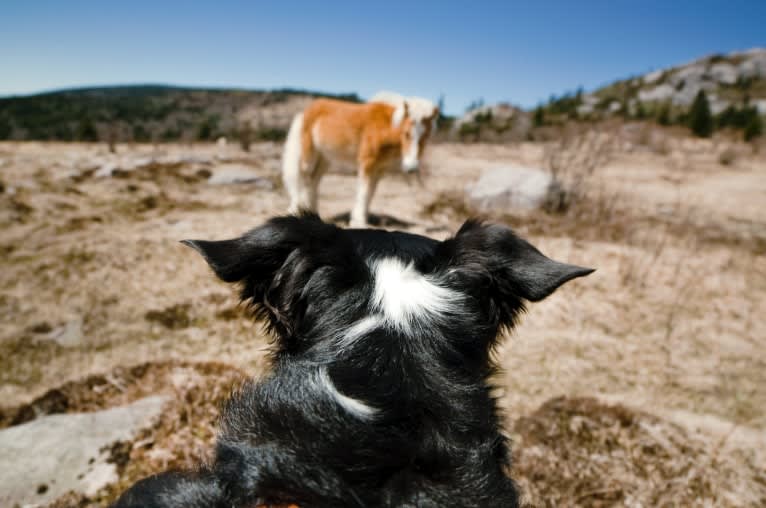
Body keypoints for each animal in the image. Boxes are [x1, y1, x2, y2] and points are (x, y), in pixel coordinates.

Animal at [282, 92, 438, 226]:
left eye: (426, 137)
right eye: (406, 133)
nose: (412, 167)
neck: (385, 126)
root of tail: (304, 112)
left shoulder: (380, 169)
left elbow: (371, 193)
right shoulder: (367, 161)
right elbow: (364, 192)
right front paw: (359, 221)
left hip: (325, 158)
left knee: (314, 180)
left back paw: (312, 211)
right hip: (309, 155)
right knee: (303, 177)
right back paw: (297, 210)